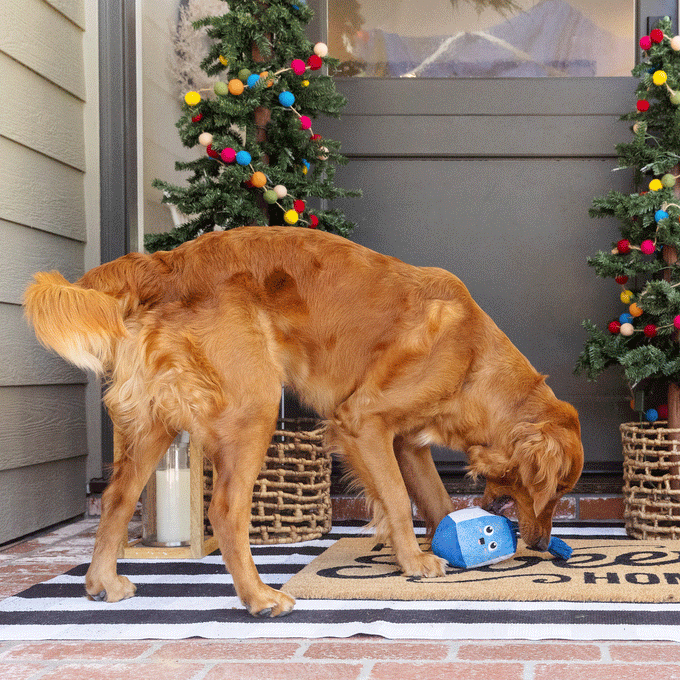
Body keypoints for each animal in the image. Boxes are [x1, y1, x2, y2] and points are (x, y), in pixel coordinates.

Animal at [23, 227, 580, 616]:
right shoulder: (363, 422)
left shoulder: (407, 444)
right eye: (553, 492)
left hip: (157, 424)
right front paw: (417, 563)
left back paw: (102, 583)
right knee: (225, 509)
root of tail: (166, 263)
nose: (540, 547)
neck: (472, 361)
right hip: (256, 405)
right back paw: (258, 597)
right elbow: (399, 502)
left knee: (118, 498)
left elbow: (437, 504)